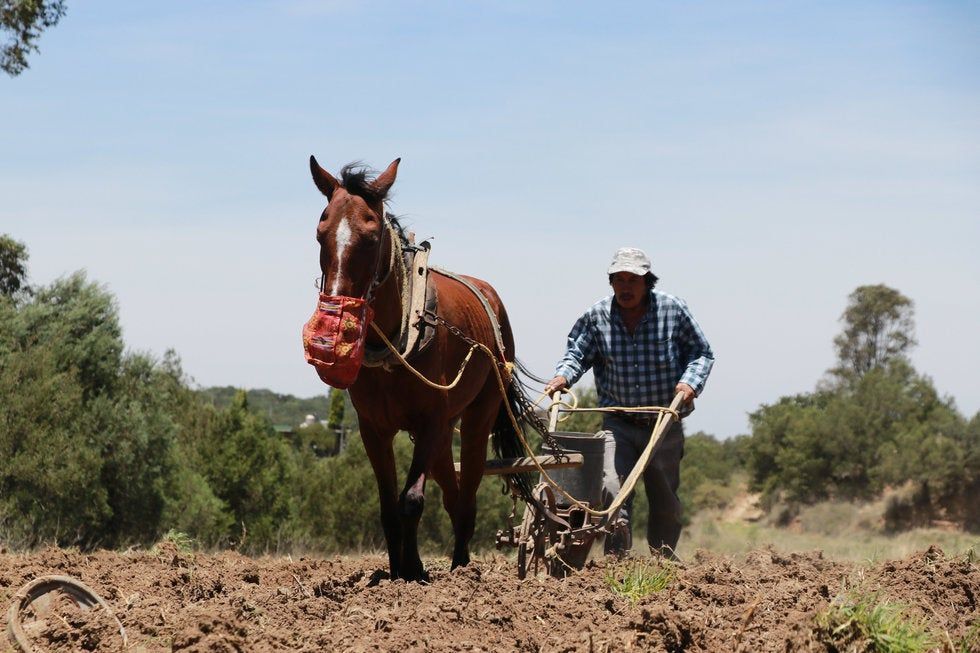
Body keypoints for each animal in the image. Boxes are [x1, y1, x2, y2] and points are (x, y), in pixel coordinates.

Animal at [308, 155, 532, 580]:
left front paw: (414, 572)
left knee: (467, 494)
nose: (336, 316)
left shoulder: (430, 421)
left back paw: (461, 566)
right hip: (445, 435)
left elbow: (410, 500)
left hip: (476, 418)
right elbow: (387, 507)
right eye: (320, 231)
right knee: (453, 495)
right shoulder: (374, 429)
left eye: (372, 234)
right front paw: (399, 572)